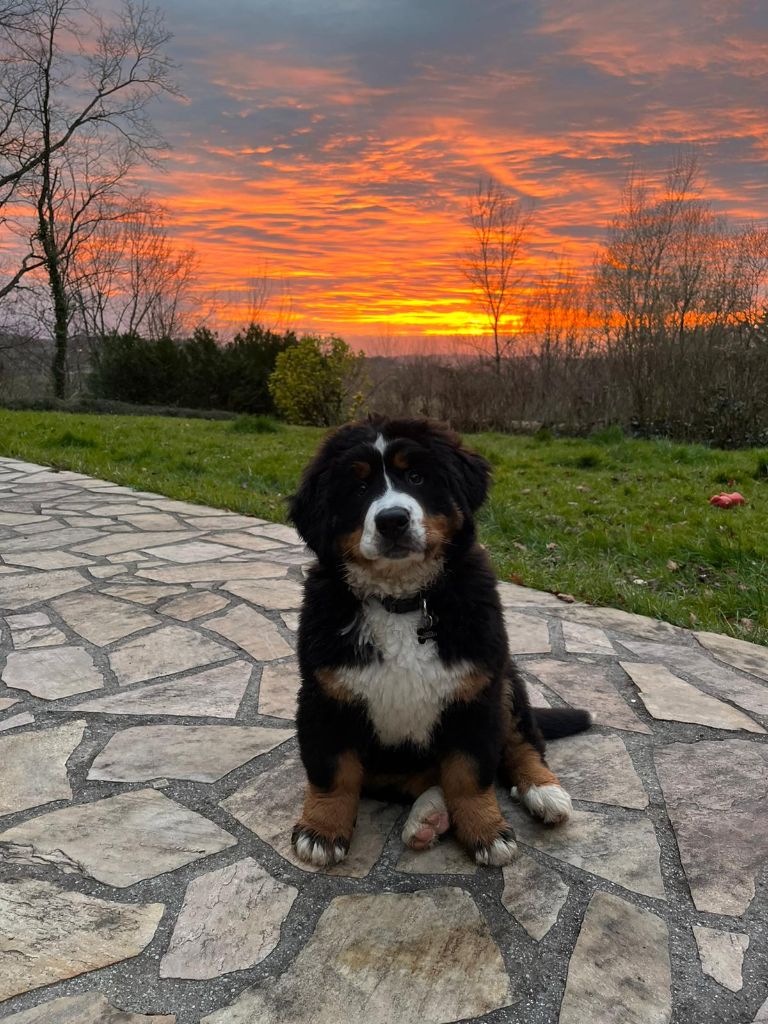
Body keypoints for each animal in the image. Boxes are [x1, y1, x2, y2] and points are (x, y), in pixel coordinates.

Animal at [288, 415, 590, 867]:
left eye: (416, 476)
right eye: (358, 488)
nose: (392, 520)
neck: (403, 602)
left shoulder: (475, 694)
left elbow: (469, 774)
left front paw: (486, 831)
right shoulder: (326, 696)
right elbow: (332, 773)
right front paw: (321, 831)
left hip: (507, 683)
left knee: (522, 742)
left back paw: (543, 792)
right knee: (421, 779)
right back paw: (429, 818)